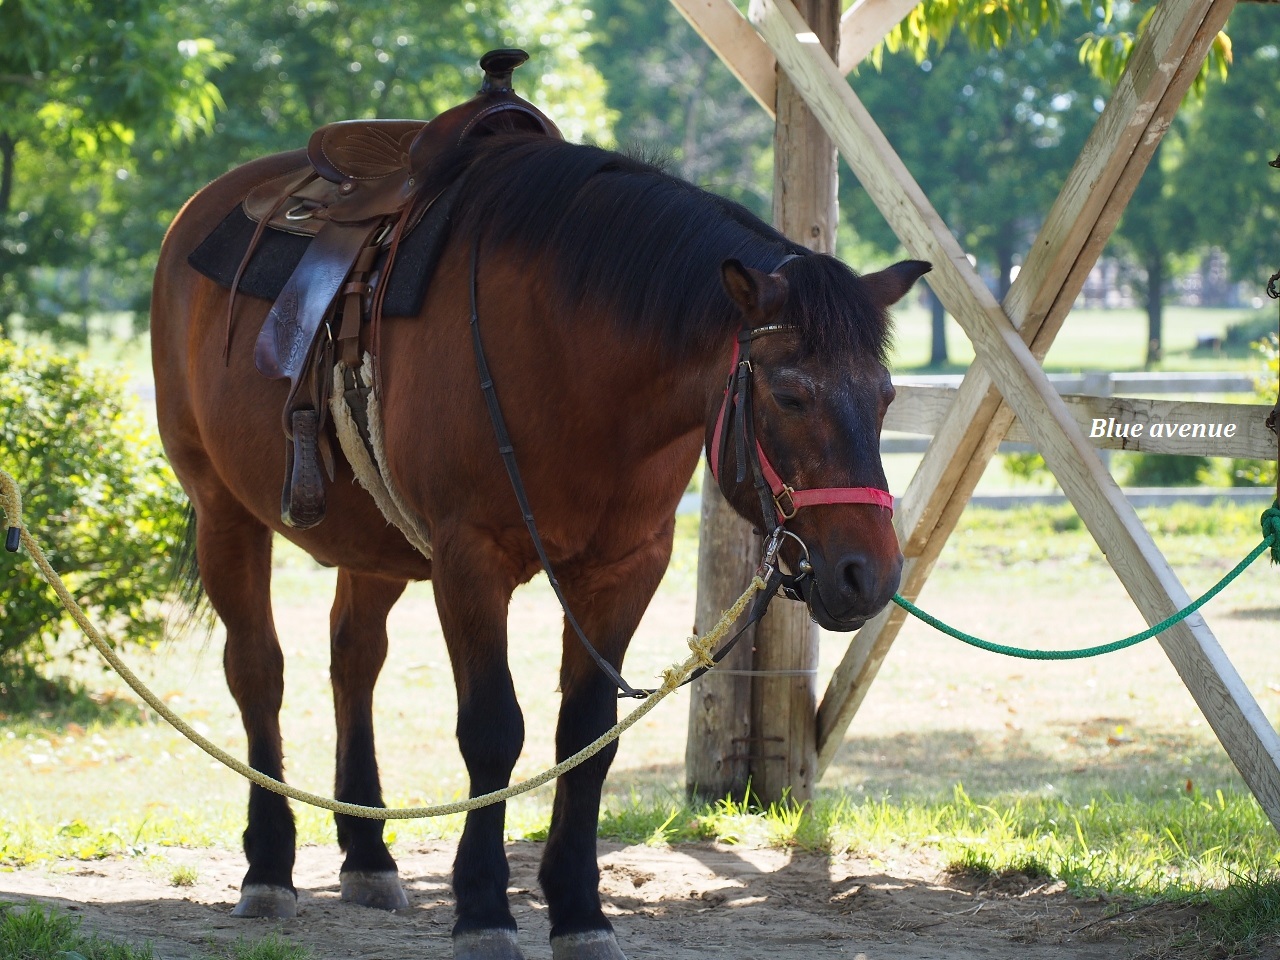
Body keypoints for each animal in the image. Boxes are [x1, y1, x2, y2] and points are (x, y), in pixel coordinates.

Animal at [149, 129, 931, 960]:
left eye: (886, 396)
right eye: (790, 395)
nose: (868, 573)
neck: (576, 360)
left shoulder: (625, 569)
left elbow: (587, 738)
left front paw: (580, 910)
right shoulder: (469, 560)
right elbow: (493, 733)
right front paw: (482, 908)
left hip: (374, 545)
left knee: (353, 661)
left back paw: (368, 856)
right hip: (223, 511)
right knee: (257, 673)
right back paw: (268, 865)